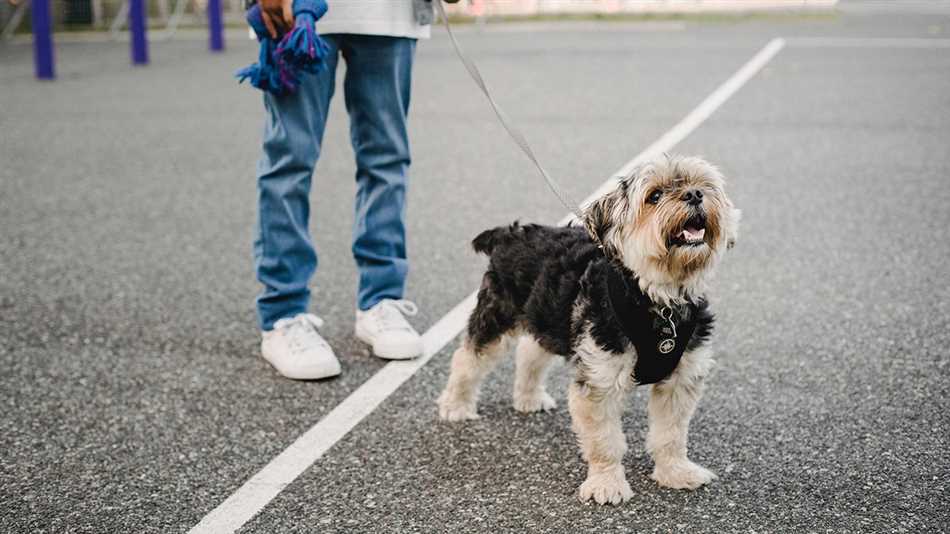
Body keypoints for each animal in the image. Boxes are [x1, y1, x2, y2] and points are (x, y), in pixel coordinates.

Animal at [438, 154, 744, 506]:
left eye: (703, 185)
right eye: (654, 196)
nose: (694, 195)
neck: (657, 298)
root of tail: (509, 233)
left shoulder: (681, 379)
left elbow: (671, 434)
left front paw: (676, 472)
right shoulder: (600, 379)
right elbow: (604, 440)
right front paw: (606, 484)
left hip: (549, 316)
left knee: (530, 350)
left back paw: (529, 397)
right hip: (498, 315)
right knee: (468, 358)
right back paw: (455, 405)